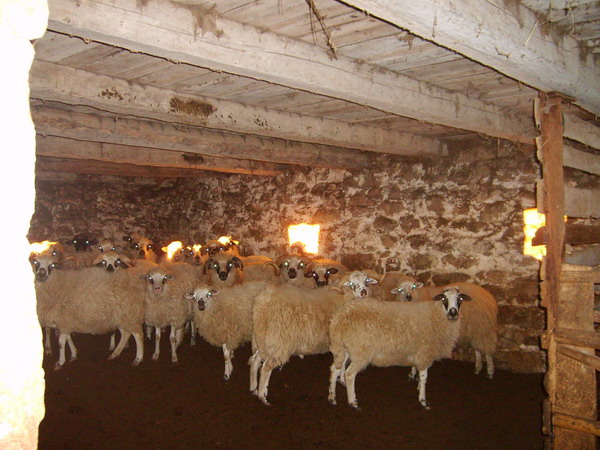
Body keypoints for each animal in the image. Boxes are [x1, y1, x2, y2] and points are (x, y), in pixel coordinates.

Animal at [328, 287, 471, 409]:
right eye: (444, 299)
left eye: (460, 299)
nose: (453, 313)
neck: (437, 314)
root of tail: (340, 316)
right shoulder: (425, 352)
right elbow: (424, 376)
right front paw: (423, 400)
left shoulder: (417, 350)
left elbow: (418, 373)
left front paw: (416, 383)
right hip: (361, 350)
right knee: (349, 374)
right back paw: (353, 402)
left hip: (344, 347)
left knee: (335, 369)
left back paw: (332, 398)